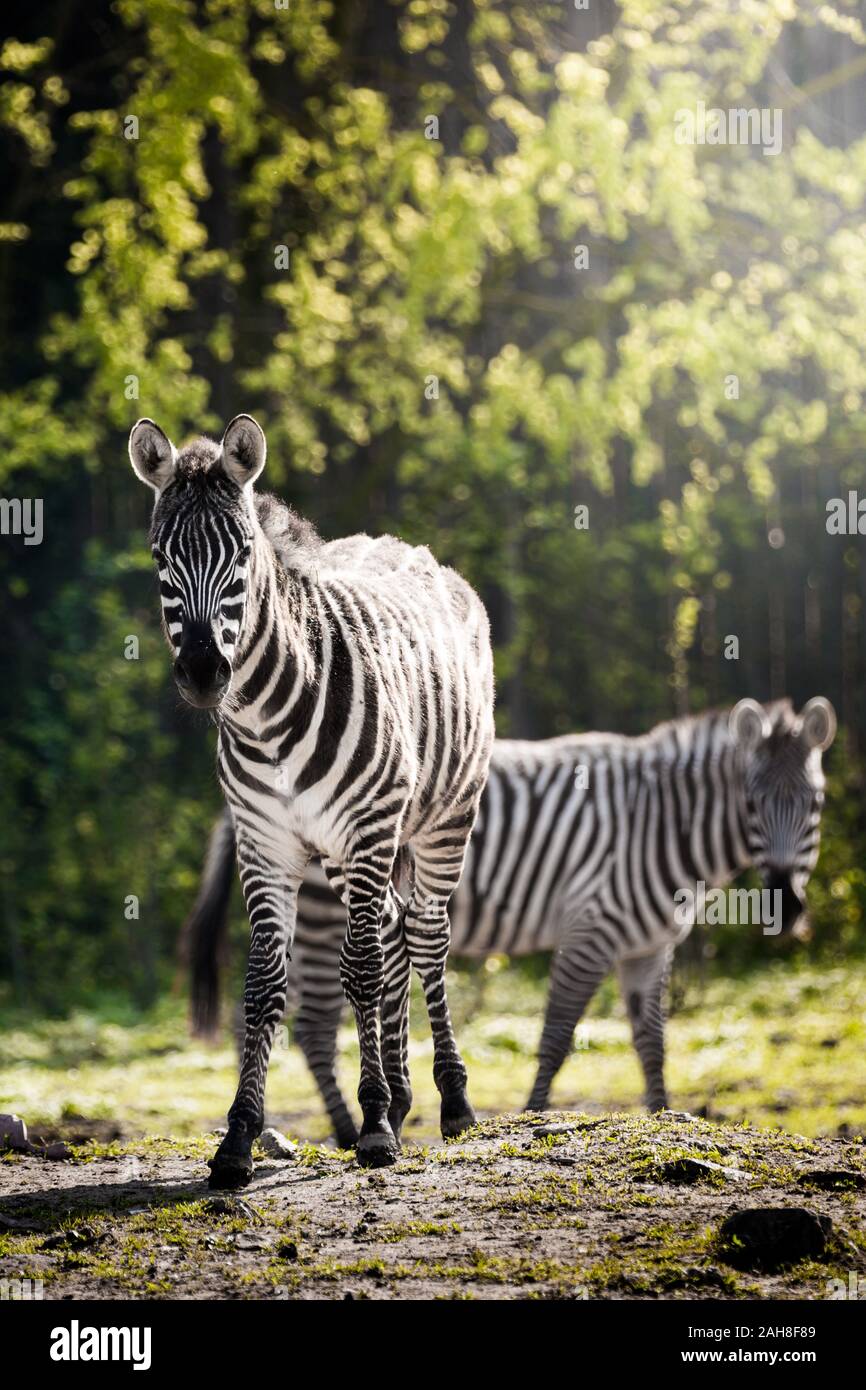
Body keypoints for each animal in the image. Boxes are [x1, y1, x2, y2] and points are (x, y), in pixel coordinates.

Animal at [128, 411, 494, 1184]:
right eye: (160, 557)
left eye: (241, 554)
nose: (202, 673)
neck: (266, 718)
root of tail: (419, 553)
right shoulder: (263, 844)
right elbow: (265, 986)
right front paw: (238, 1136)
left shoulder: (368, 827)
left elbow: (359, 970)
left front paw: (375, 1125)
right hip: (352, 849)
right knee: (391, 931)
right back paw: (404, 1094)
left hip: (438, 821)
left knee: (424, 936)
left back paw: (450, 1102)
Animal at [186, 695, 839, 1139]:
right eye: (752, 803)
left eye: (817, 803)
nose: (786, 906)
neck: (663, 821)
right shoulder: (591, 928)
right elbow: (557, 1036)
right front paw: (531, 1115)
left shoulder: (648, 947)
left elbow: (652, 1042)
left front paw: (660, 1116)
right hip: (325, 914)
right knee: (316, 1029)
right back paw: (349, 1133)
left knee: (272, 1019)